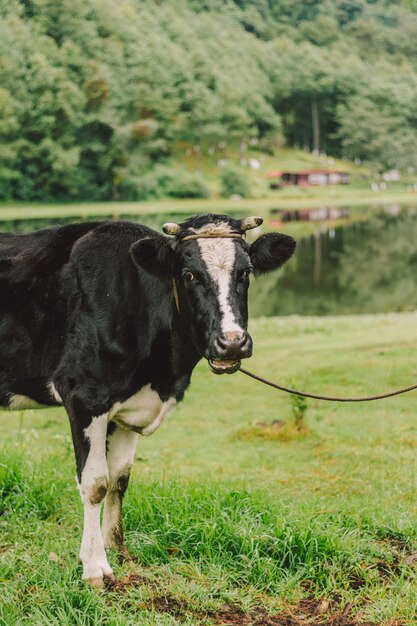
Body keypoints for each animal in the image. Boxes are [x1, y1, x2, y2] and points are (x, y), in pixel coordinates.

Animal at [0, 212, 296, 584]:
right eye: (188, 275)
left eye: (245, 272)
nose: (231, 343)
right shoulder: (83, 395)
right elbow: (95, 483)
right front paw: (95, 568)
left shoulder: (129, 408)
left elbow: (119, 479)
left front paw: (118, 551)